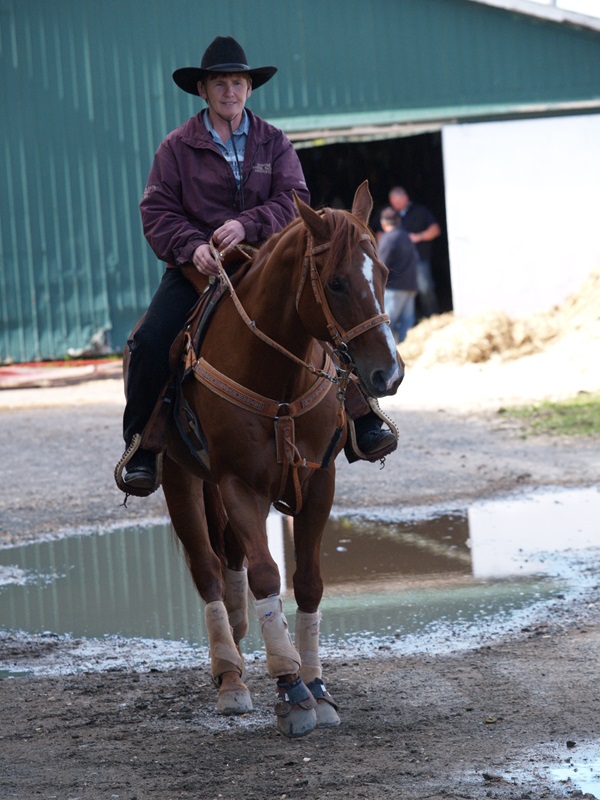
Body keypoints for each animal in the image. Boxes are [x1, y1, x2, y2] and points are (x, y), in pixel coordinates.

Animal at [159, 181, 403, 737]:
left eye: (383, 272)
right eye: (335, 282)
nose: (389, 374)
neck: (277, 380)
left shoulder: (319, 482)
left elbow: (308, 583)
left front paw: (317, 686)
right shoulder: (238, 485)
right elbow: (267, 575)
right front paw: (290, 689)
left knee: (229, 564)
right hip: (180, 480)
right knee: (208, 570)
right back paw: (230, 677)